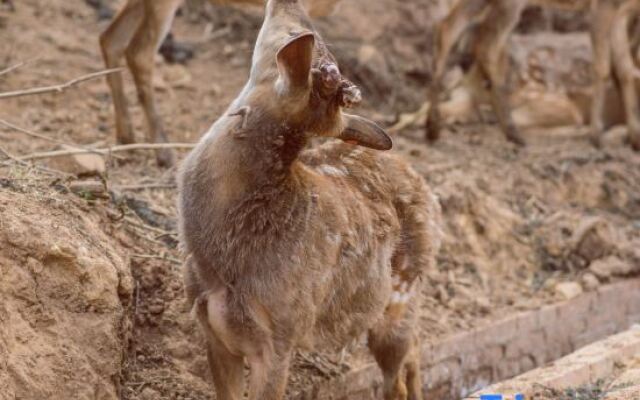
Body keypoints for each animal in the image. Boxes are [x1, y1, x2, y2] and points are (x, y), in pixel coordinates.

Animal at [178, 0, 442, 396]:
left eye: (298, 36)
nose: (290, 4)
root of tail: (430, 194)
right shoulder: (211, 327)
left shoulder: (279, 337)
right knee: (416, 351)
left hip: (401, 297)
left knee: (396, 379)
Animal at [424, 0, 640, 152]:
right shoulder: (603, 5)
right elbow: (604, 67)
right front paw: (597, 137)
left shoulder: (621, 12)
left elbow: (624, 69)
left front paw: (634, 139)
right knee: (487, 45)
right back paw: (512, 131)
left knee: (447, 28)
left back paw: (433, 127)